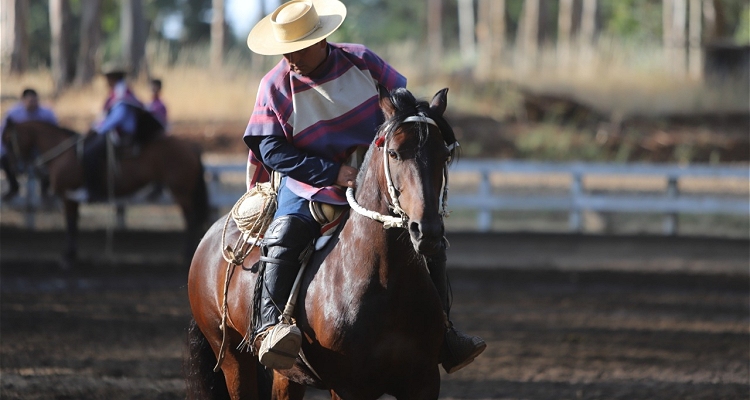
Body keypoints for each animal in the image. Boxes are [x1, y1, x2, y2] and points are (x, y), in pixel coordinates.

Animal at [2, 120, 212, 268]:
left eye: (9, 141)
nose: (17, 168)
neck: (64, 154)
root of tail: (192, 147)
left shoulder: (67, 196)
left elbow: (70, 225)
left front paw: (68, 256)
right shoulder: (72, 198)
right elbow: (74, 224)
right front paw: (72, 255)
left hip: (181, 192)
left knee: (191, 220)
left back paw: (185, 255)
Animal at [185, 88, 462, 400]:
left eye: (444, 155)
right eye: (394, 153)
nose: (426, 229)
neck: (383, 279)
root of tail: (209, 238)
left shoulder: (423, 382)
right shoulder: (348, 387)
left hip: (287, 373)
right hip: (233, 358)